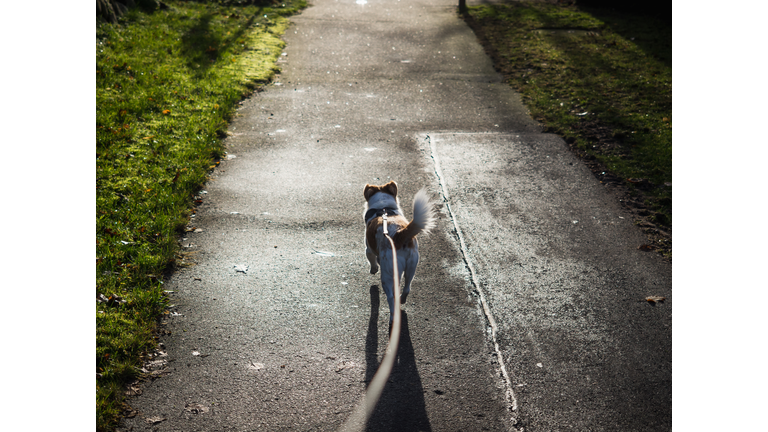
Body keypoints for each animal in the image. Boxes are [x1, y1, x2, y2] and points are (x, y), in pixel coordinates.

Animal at [364, 181, 436, 326]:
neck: (383, 208)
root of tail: (398, 234)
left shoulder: (368, 249)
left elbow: (371, 260)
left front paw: (373, 269)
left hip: (388, 274)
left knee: (391, 298)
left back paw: (393, 317)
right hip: (412, 266)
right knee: (407, 288)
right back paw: (402, 300)